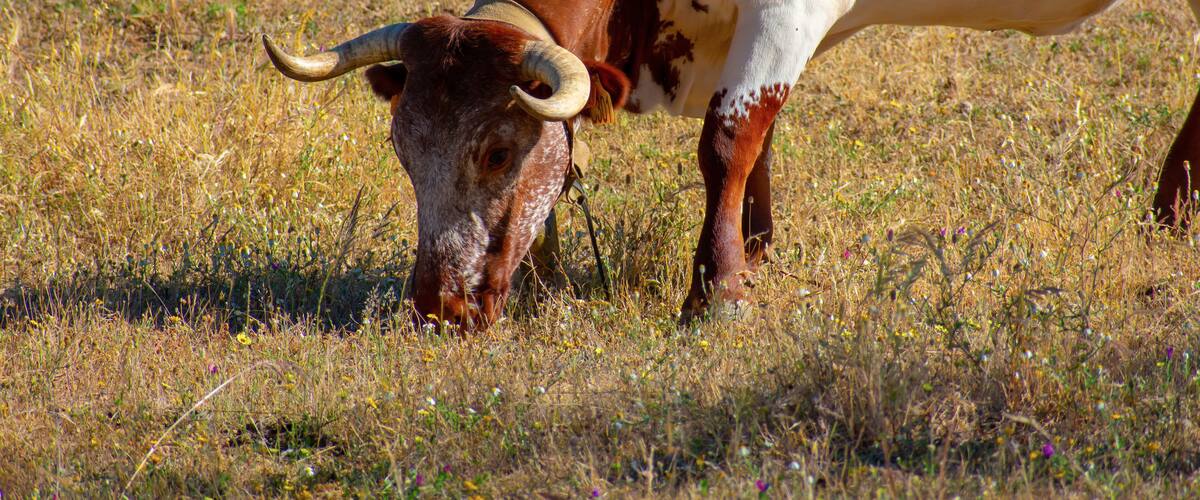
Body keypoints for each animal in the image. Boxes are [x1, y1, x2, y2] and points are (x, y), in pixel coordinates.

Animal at [264, 0, 1200, 330]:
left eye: (495, 148)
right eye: (402, 148)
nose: (439, 303)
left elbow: (729, 139)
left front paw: (717, 293)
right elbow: (757, 144)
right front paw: (756, 251)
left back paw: (1174, 205)